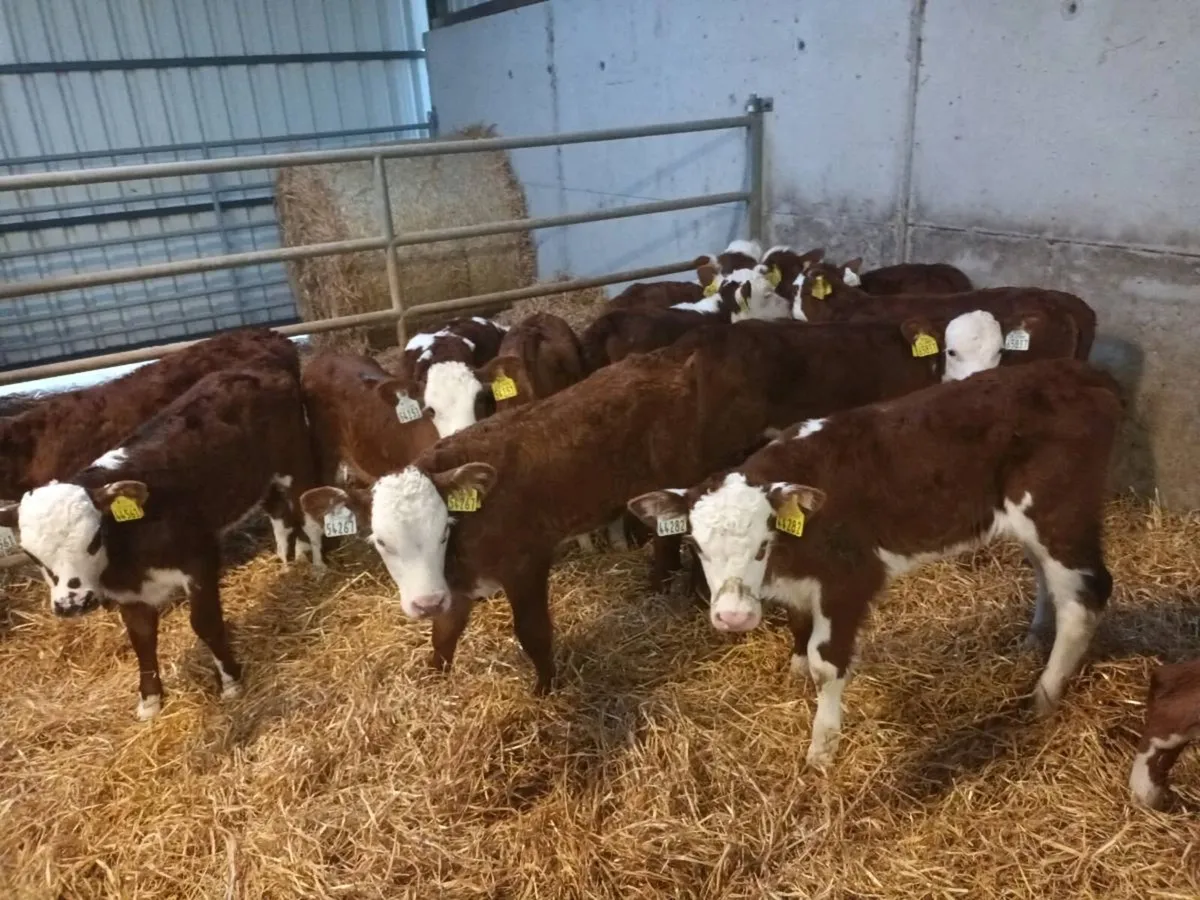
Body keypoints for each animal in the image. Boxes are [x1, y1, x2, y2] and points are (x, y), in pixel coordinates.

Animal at [0, 364, 321, 719]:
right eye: (31, 555)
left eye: (94, 538)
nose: (72, 604)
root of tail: (255, 371)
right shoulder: (129, 594)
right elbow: (141, 638)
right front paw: (150, 699)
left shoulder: (199, 560)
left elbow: (205, 623)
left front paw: (230, 681)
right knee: (279, 512)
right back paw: (290, 560)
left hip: (295, 462)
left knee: (306, 508)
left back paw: (318, 565)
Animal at [298, 312, 1009, 695]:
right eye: (381, 541)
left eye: (441, 528)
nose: (417, 600)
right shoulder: (461, 584)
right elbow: (445, 635)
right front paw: (436, 680)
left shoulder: (525, 564)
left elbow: (533, 634)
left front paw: (545, 692)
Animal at [628, 359, 1122, 767]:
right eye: (696, 545)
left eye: (762, 544)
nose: (733, 617)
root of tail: (1083, 375)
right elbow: (799, 627)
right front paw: (795, 672)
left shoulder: (850, 579)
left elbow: (827, 662)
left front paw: (821, 749)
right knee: (1046, 577)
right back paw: (1033, 640)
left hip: (1060, 512)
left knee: (1085, 597)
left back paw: (1043, 696)